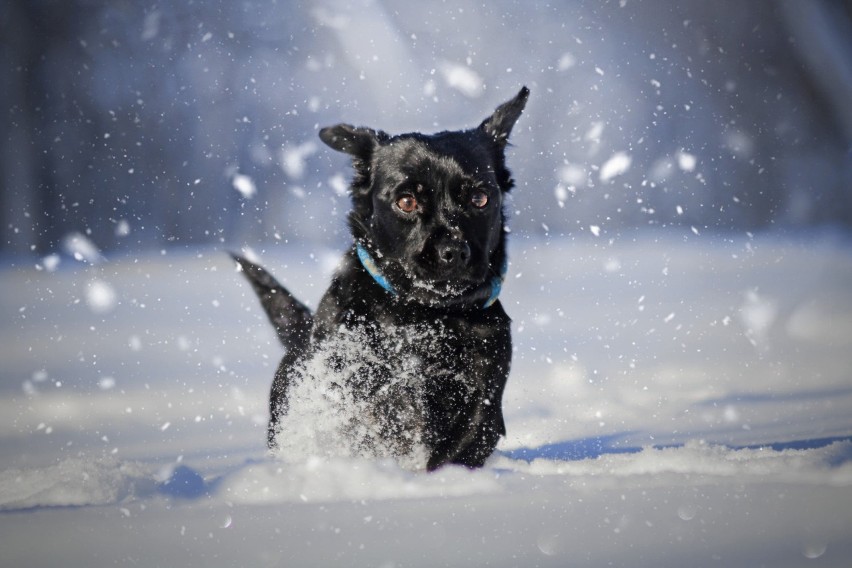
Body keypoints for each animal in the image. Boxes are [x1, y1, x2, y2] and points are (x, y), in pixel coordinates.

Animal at [233, 86, 524, 470]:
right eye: (406, 201)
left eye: (479, 198)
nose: (452, 251)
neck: (425, 317)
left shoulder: (486, 388)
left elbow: (462, 440)